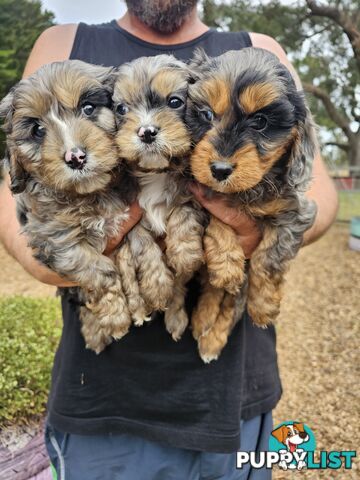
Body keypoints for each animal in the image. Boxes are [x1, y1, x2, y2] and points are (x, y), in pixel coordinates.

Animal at [0, 60, 135, 352]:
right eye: (38, 130)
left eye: (88, 108)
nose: (76, 157)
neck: (89, 194)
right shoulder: (55, 238)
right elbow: (99, 271)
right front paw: (116, 317)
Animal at [112, 55, 205, 342]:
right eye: (121, 108)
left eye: (174, 102)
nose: (146, 131)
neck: (156, 173)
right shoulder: (129, 216)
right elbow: (144, 246)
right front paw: (156, 286)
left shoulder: (192, 194)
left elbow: (183, 213)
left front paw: (185, 253)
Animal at [187, 48, 316, 362]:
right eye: (206, 114)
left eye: (260, 122)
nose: (220, 169)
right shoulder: (200, 195)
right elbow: (218, 222)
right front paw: (226, 265)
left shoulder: (295, 213)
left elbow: (267, 259)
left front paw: (263, 306)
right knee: (215, 290)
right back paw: (204, 318)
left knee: (231, 303)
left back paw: (211, 339)